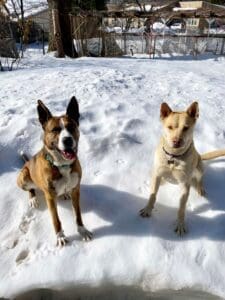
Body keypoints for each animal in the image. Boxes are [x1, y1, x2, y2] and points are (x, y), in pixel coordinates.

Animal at [16, 96, 92, 246]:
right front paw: (60, 236)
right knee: (30, 189)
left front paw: (82, 230)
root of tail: (27, 162)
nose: (67, 140)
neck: (62, 165)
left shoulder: (76, 190)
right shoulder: (50, 197)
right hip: (24, 177)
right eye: (55, 130)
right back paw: (33, 198)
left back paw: (64, 194)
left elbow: (78, 215)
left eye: (71, 127)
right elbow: (56, 220)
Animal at [140, 102, 225, 236]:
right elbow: (152, 196)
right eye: (170, 127)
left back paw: (200, 188)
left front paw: (180, 224)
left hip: (199, 167)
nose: (176, 141)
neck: (173, 157)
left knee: (200, 178)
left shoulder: (185, 185)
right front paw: (148, 209)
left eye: (186, 128)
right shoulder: (157, 175)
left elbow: (181, 208)